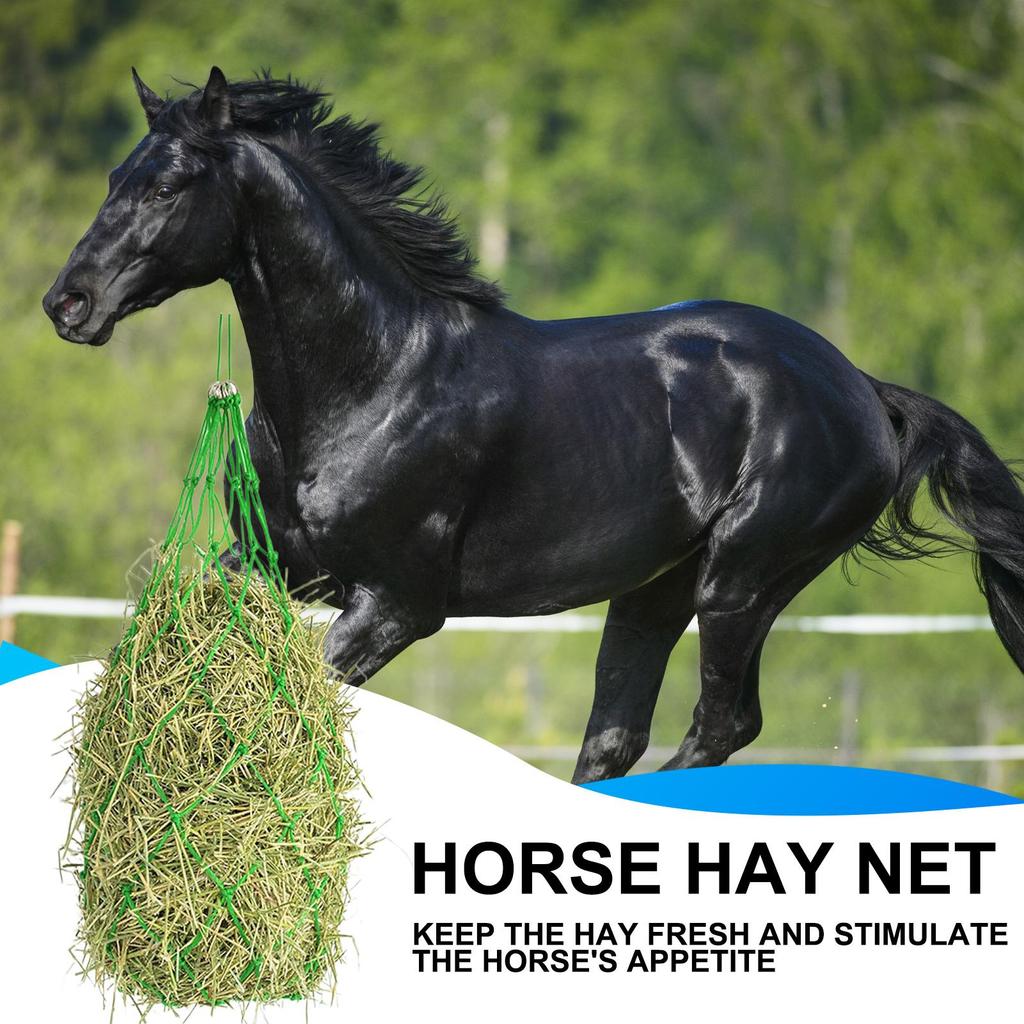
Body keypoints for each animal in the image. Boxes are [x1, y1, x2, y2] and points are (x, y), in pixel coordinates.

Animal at [43, 68, 1024, 783]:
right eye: (114, 177)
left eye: (168, 186)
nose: (68, 304)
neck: (370, 384)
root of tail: (862, 386)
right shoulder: (264, 566)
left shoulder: (399, 603)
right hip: (656, 590)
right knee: (616, 738)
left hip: (743, 581)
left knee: (720, 726)